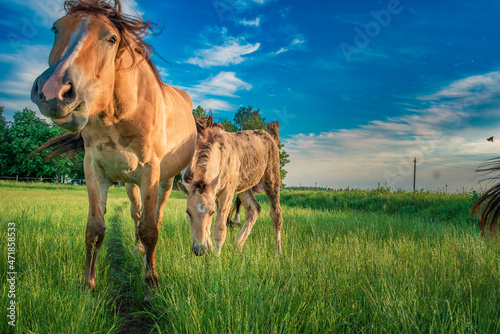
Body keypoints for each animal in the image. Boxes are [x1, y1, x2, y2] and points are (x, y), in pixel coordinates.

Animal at [28, 0, 194, 300]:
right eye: (56, 28)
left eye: (112, 38)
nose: (53, 91)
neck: (119, 114)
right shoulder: (94, 170)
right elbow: (95, 229)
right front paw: (87, 285)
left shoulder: (150, 173)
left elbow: (150, 230)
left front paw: (151, 286)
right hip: (129, 184)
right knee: (137, 214)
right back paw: (139, 251)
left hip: (165, 180)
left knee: (156, 217)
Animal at [178, 122, 284, 256]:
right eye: (188, 212)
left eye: (211, 212)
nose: (199, 250)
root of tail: (268, 135)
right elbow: (206, 229)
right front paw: (209, 250)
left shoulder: (227, 192)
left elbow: (219, 228)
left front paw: (216, 258)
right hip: (243, 186)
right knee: (254, 209)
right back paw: (236, 248)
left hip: (271, 177)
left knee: (276, 214)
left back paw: (278, 251)